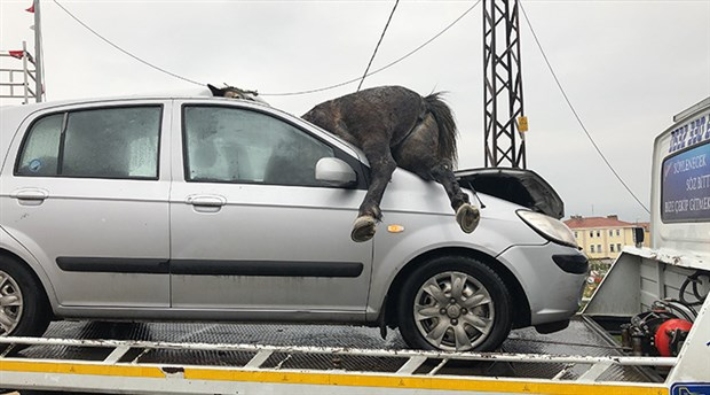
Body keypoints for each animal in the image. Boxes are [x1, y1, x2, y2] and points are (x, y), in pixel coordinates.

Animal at [209, 84, 482, 243]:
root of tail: (423, 101)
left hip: (374, 136)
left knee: (384, 166)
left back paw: (365, 216)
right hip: (414, 152)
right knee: (439, 169)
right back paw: (463, 208)